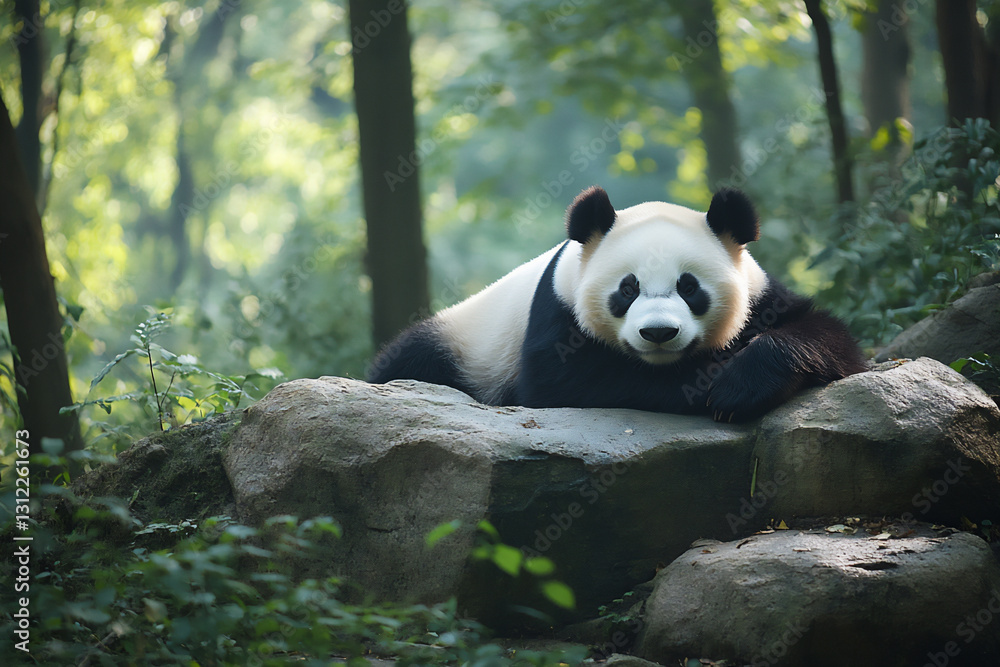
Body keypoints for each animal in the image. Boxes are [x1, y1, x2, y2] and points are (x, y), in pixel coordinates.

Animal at [368, 186, 866, 422]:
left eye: (689, 287)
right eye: (628, 289)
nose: (659, 332)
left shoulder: (762, 296)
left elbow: (826, 337)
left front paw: (740, 386)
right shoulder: (557, 312)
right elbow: (567, 384)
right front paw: (713, 382)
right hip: (466, 346)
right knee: (412, 360)